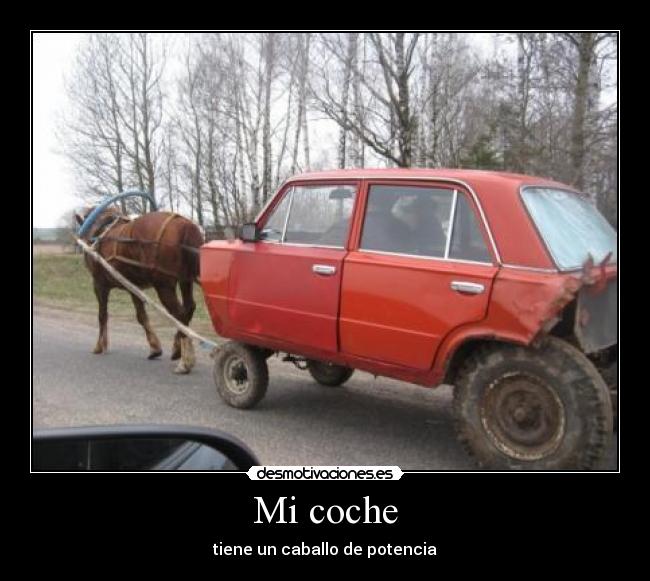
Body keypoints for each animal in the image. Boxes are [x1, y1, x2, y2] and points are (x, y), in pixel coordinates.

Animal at [75, 205, 205, 374]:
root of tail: (184, 225)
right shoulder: (133, 286)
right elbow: (141, 316)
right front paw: (155, 348)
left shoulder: (99, 284)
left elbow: (102, 316)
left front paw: (99, 346)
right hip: (185, 279)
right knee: (189, 308)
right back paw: (177, 349)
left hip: (163, 285)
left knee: (180, 314)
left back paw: (185, 361)